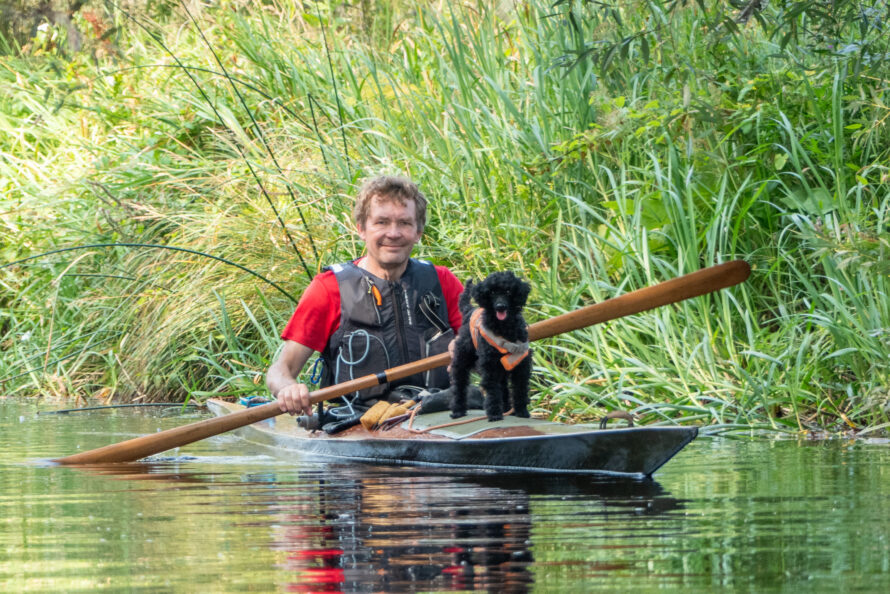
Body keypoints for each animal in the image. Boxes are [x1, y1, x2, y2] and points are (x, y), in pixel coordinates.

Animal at [450, 270, 528, 418]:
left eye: (508, 291)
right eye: (491, 292)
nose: (500, 307)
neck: (504, 328)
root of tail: (469, 310)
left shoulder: (521, 362)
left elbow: (520, 387)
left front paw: (522, 411)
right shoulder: (489, 363)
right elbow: (492, 388)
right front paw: (494, 413)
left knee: (503, 386)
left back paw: (506, 408)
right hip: (462, 358)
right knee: (459, 383)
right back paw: (458, 410)